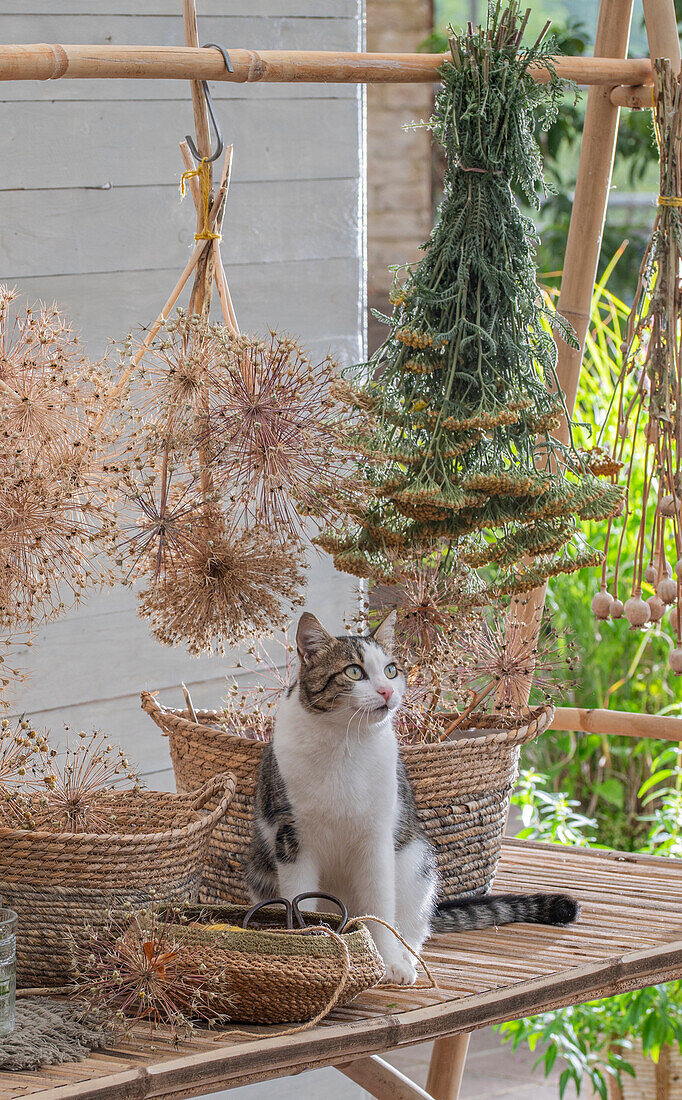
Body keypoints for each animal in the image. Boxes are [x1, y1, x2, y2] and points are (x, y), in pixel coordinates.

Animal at [245, 611, 576, 990]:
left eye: (391, 670)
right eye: (354, 672)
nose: (387, 690)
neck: (345, 743)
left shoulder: (377, 838)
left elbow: (380, 908)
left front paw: (389, 961)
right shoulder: (292, 839)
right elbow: (301, 901)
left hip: (416, 862)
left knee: (414, 927)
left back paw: (404, 956)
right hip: (259, 866)